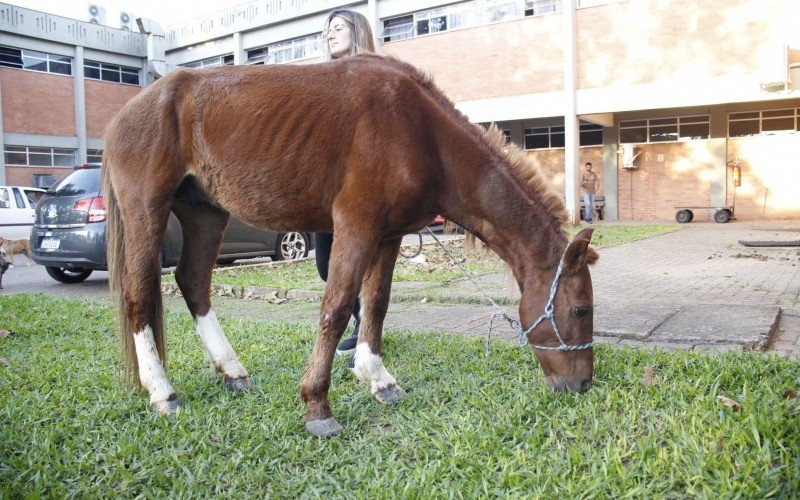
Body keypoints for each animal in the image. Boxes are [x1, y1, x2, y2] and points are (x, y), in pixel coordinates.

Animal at [103, 54, 596, 436]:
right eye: (580, 310)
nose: (583, 385)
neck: (420, 132)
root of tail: (126, 114)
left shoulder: (389, 235)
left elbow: (375, 303)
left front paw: (378, 379)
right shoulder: (355, 226)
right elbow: (338, 306)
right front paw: (317, 405)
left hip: (205, 213)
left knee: (193, 283)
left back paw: (231, 371)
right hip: (148, 211)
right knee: (138, 294)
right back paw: (162, 391)